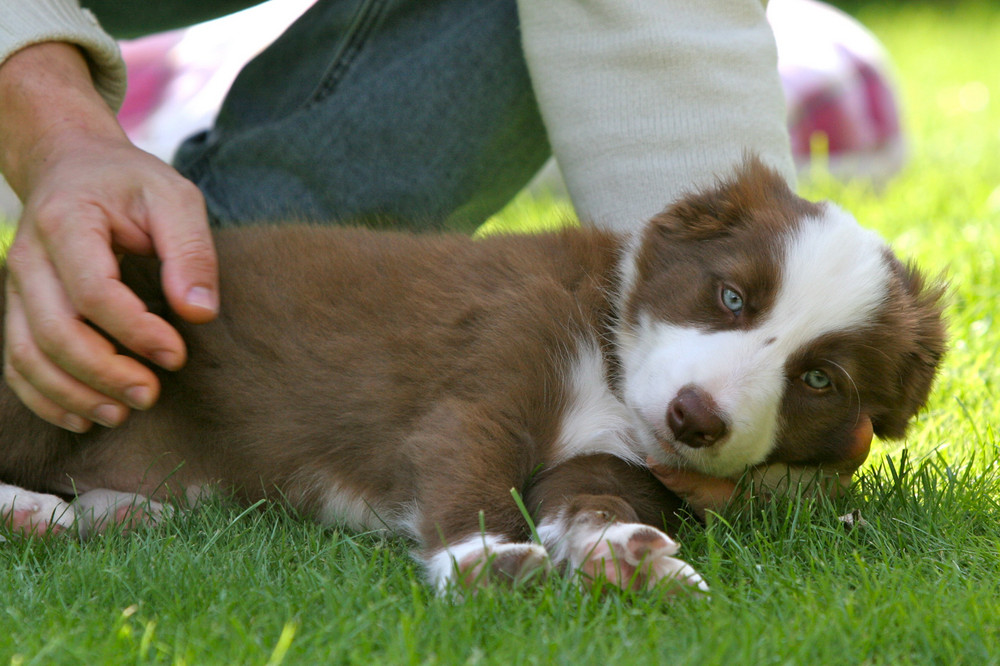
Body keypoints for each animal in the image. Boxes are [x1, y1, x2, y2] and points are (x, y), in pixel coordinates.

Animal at [0, 160, 944, 592]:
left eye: (820, 380)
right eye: (732, 296)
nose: (694, 419)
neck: (608, 364)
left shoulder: (614, 456)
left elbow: (589, 495)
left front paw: (624, 554)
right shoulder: (491, 365)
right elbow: (470, 460)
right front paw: (487, 559)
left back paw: (115, 512)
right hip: (74, 347)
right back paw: (33, 511)